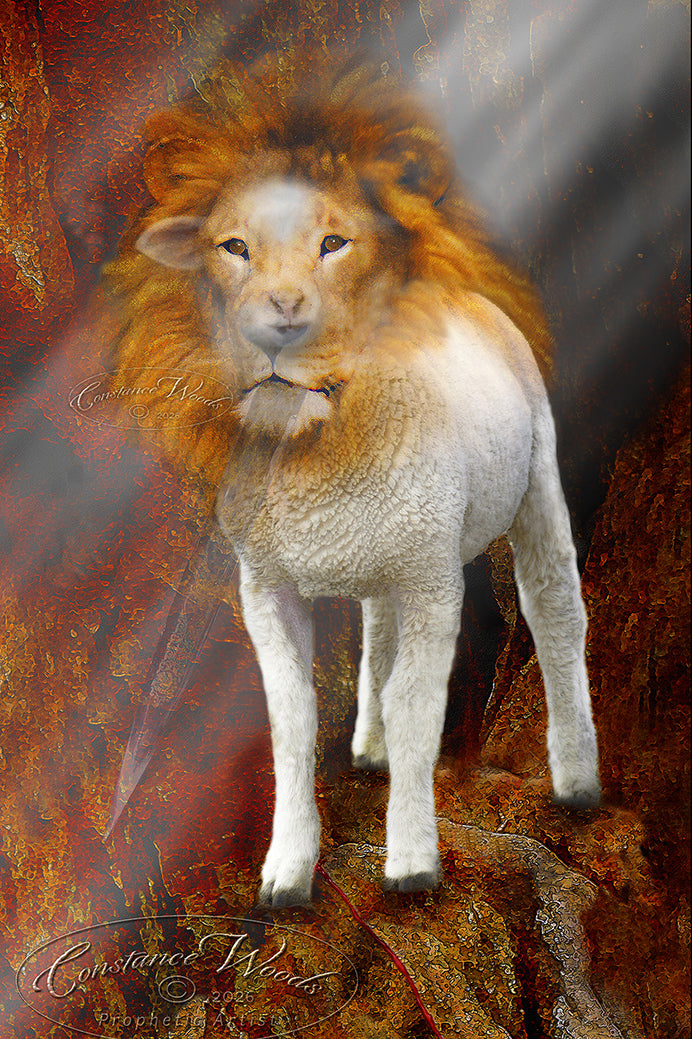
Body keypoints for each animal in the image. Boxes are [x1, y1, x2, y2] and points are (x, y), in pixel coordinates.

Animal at [106, 55, 601, 906]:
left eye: (335, 242)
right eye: (231, 246)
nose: (277, 323)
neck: (317, 442)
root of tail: (465, 292)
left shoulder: (435, 580)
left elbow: (419, 705)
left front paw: (412, 860)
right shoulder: (266, 587)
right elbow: (292, 717)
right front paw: (286, 870)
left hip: (534, 484)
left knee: (555, 613)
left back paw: (576, 778)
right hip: (388, 556)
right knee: (378, 633)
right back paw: (370, 748)